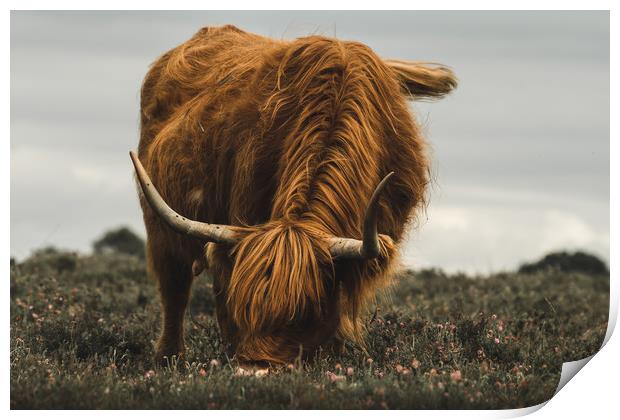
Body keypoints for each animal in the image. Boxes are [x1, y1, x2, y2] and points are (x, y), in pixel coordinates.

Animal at [131, 24, 458, 364]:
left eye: (305, 313)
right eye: (246, 306)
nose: (255, 367)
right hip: (160, 226)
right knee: (175, 289)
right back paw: (169, 357)